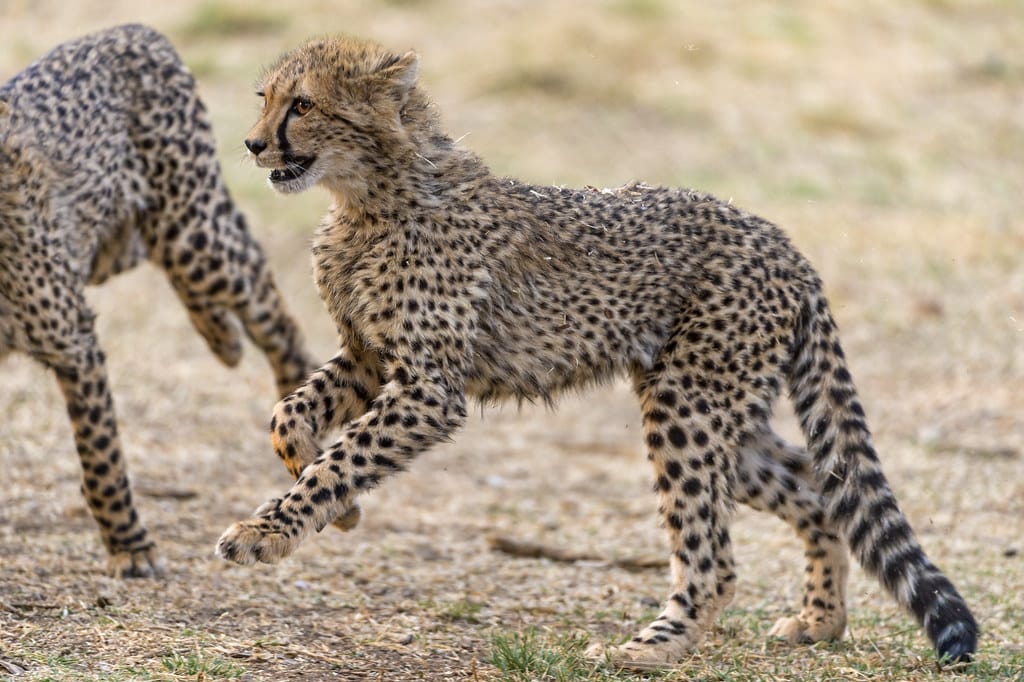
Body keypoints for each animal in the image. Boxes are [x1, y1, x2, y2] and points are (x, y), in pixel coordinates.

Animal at [0, 24, 317, 578]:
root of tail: (134, 30)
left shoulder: (74, 343)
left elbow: (101, 456)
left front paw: (130, 547)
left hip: (193, 233)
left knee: (266, 303)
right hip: (124, 240)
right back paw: (223, 340)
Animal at [216, 36, 978, 667]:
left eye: (303, 104)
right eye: (265, 98)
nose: (252, 145)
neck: (368, 199)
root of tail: (780, 240)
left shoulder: (428, 389)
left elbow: (340, 461)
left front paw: (269, 530)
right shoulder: (372, 359)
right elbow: (288, 416)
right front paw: (334, 507)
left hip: (687, 405)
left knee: (713, 553)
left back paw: (653, 645)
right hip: (724, 415)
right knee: (822, 491)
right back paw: (819, 620)